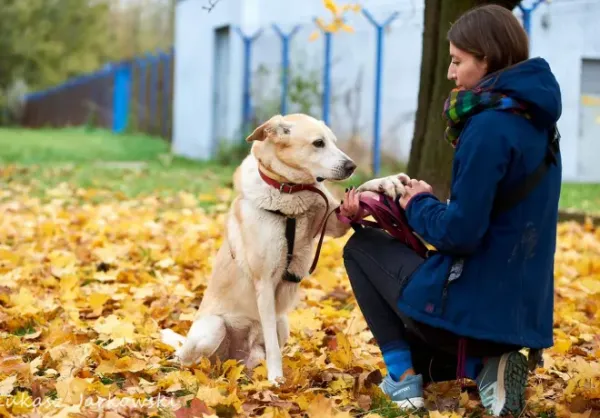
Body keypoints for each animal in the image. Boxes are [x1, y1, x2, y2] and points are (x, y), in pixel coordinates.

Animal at [159, 112, 360, 384]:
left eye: (333, 142)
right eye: (318, 143)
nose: (352, 166)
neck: (289, 192)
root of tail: (233, 360)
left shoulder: (335, 223)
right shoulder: (264, 282)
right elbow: (274, 349)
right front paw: (276, 380)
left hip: (282, 322)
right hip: (213, 329)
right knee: (191, 360)